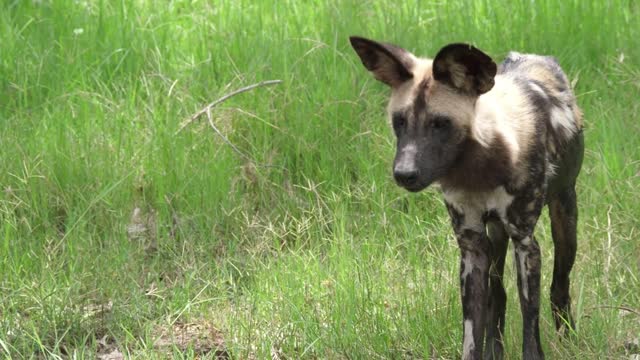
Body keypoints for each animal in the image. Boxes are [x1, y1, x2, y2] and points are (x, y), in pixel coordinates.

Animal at [350, 37, 584, 360]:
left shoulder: (525, 242)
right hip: (494, 239)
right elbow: (473, 329)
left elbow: (530, 320)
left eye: (440, 123)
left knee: (559, 286)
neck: (481, 168)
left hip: (564, 220)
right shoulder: (471, 247)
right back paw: (495, 349)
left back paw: (569, 338)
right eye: (399, 121)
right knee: (498, 295)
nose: (404, 173)